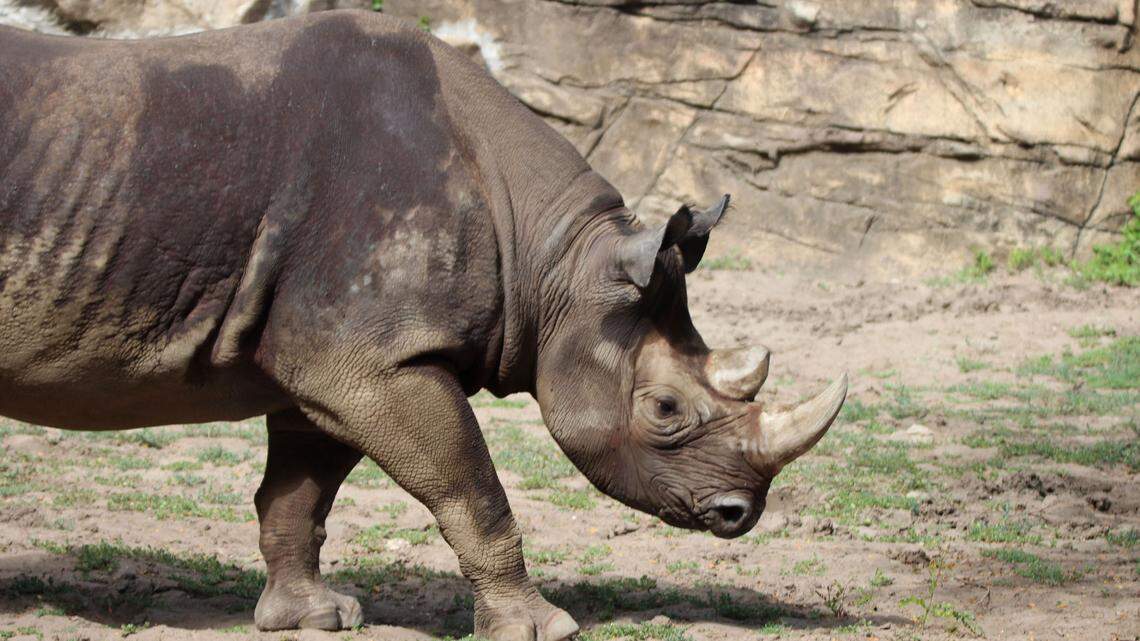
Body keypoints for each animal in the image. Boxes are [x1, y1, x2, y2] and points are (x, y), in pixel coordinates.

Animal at [0, 10, 847, 640]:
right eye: (666, 408)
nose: (740, 512)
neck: (555, 263)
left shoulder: (337, 360)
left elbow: (297, 496)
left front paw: (311, 616)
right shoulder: (377, 360)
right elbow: (474, 490)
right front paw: (542, 627)